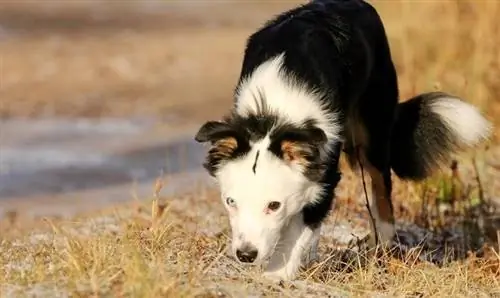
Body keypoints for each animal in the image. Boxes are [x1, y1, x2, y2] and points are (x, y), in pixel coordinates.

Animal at [192, 0, 492, 282]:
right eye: (231, 201)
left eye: (273, 205)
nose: (245, 255)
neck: (275, 115)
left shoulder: (324, 169)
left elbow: (304, 221)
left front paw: (277, 274)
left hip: (374, 128)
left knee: (381, 187)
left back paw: (383, 246)